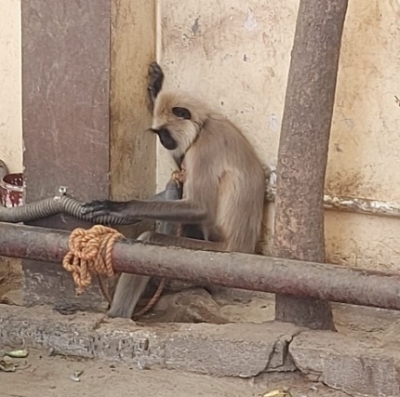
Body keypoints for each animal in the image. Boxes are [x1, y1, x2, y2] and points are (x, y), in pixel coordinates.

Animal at [82, 62, 266, 318]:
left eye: (164, 133)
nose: (164, 142)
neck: (205, 124)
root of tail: (242, 250)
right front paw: (156, 86)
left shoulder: (203, 148)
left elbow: (200, 208)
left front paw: (120, 207)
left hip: (212, 255)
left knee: (151, 238)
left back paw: (117, 315)